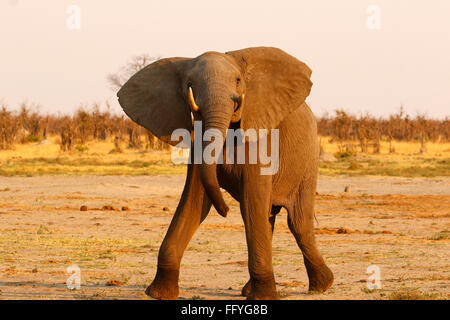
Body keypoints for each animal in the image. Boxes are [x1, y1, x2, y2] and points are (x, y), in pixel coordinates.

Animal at [117, 46, 334, 298]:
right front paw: (158, 293)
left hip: (308, 162)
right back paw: (251, 290)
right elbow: (194, 203)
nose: (225, 210)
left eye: (238, 81)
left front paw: (265, 296)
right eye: (189, 84)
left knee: (297, 222)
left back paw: (322, 286)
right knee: (269, 216)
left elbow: (250, 204)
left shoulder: (257, 136)